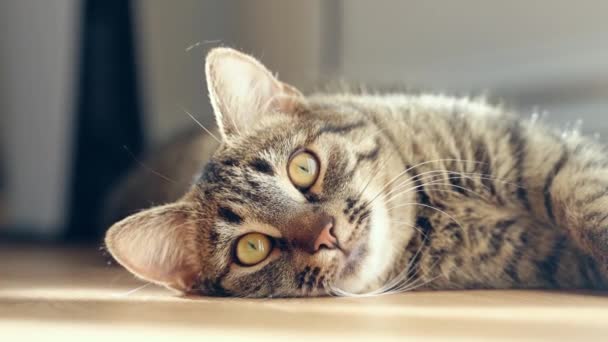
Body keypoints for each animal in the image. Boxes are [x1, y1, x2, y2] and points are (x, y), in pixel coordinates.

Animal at [104, 47, 608, 296]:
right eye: (251, 248)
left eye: (302, 167)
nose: (326, 234)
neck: (434, 211)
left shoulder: (542, 154)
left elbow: (587, 202)